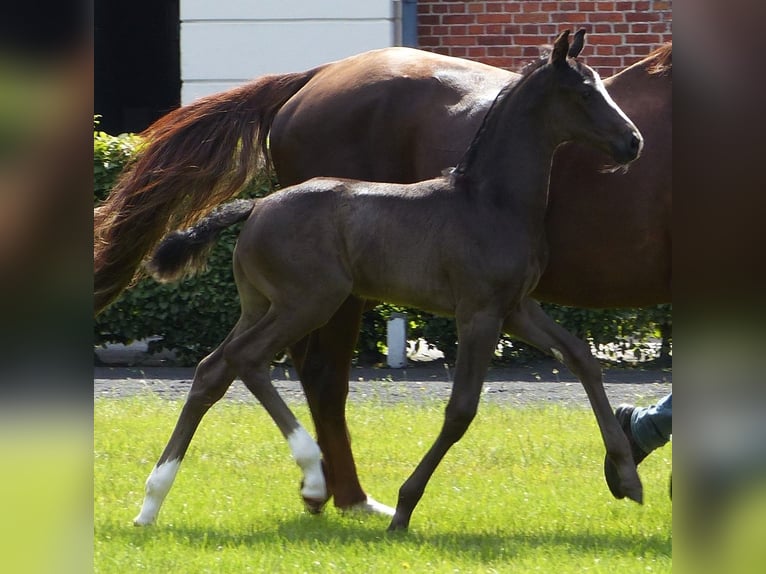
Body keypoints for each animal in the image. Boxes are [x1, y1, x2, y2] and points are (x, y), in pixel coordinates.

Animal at [94, 39, 672, 512]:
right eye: (584, 92)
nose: (634, 142)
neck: (488, 199)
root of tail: (255, 204)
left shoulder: (517, 308)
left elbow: (582, 358)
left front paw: (627, 475)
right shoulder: (479, 312)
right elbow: (461, 410)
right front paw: (407, 505)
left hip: (264, 305)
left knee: (217, 368)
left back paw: (155, 501)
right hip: (311, 302)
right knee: (265, 364)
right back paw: (322, 483)